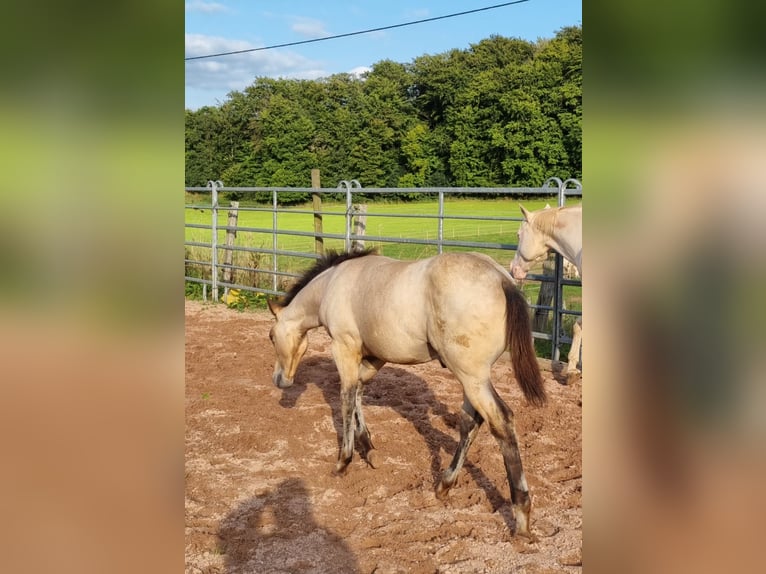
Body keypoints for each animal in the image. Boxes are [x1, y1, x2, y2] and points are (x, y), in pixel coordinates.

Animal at [268, 251, 544, 540]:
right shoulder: (374, 356)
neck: (332, 282)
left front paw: (344, 461)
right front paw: (368, 447)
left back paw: (521, 516)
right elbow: (358, 393)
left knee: (501, 421)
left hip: (472, 377)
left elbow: (346, 397)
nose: (279, 380)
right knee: (471, 422)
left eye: (271, 336)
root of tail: (502, 280)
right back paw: (444, 485)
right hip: (473, 379)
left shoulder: (344, 348)